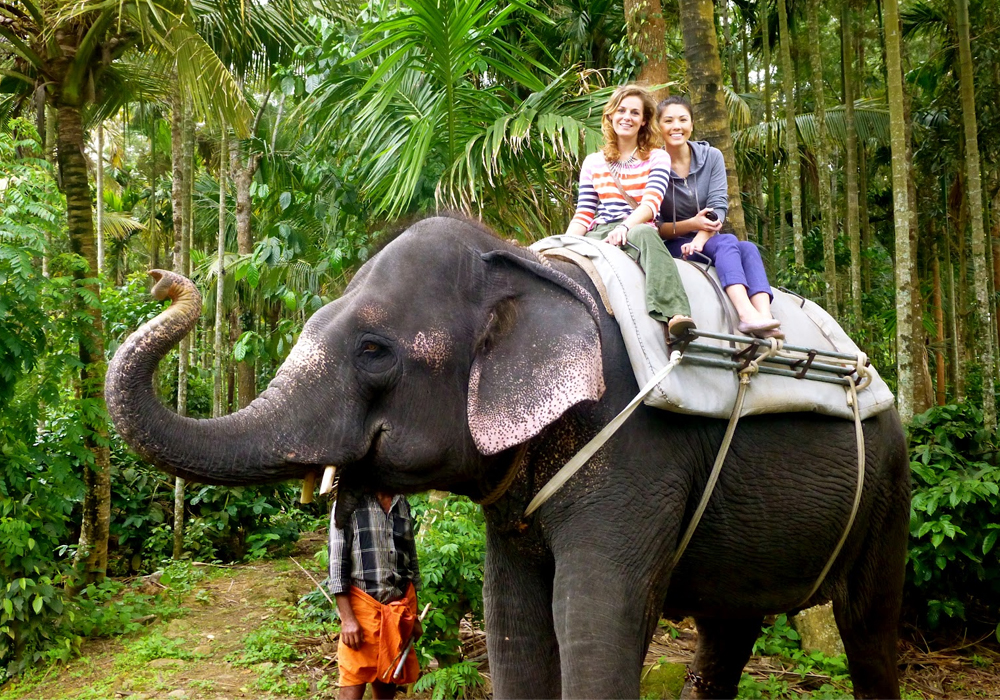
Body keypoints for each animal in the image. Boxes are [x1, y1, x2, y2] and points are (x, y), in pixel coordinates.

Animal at [105, 216, 912, 696]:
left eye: (374, 351)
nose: (162, 279)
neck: (527, 267)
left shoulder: (637, 458)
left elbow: (596, 619)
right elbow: (512, 618)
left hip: (890, 484)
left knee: (868, 631)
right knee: (729, 627)